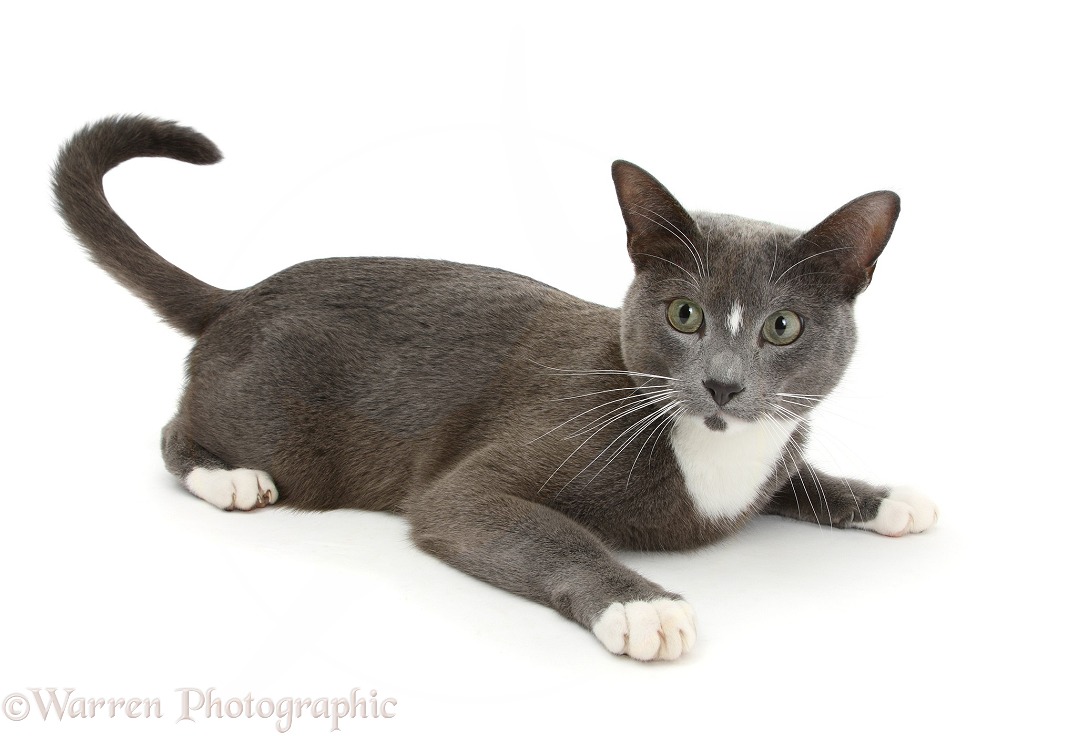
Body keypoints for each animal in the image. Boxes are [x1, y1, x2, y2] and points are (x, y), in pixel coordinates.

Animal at [52, 113, 935, 662]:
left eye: (782, 328)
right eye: (685, 314)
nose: (722, 384)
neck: (714, 452)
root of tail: (239, 296)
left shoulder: (772, 455)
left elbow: (804, 481)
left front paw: (888, 497)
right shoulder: (479, 481)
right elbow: (540, 529)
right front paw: (641, 605)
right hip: (277, 424)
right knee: (174, 431)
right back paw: (230, 476)